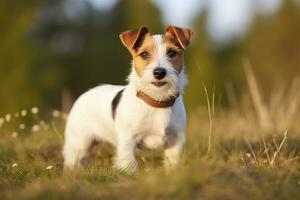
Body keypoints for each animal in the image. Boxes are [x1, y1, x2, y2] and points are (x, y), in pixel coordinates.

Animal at [63, 24, 193, 172]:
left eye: (172, 53)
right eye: (144, 54)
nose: (159, 72)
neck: (156, 101)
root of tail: (85, 94)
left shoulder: (175, 139)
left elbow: (172, 161)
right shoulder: (128, 139)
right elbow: (128, 161)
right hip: (78, 142)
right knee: (73, 159)